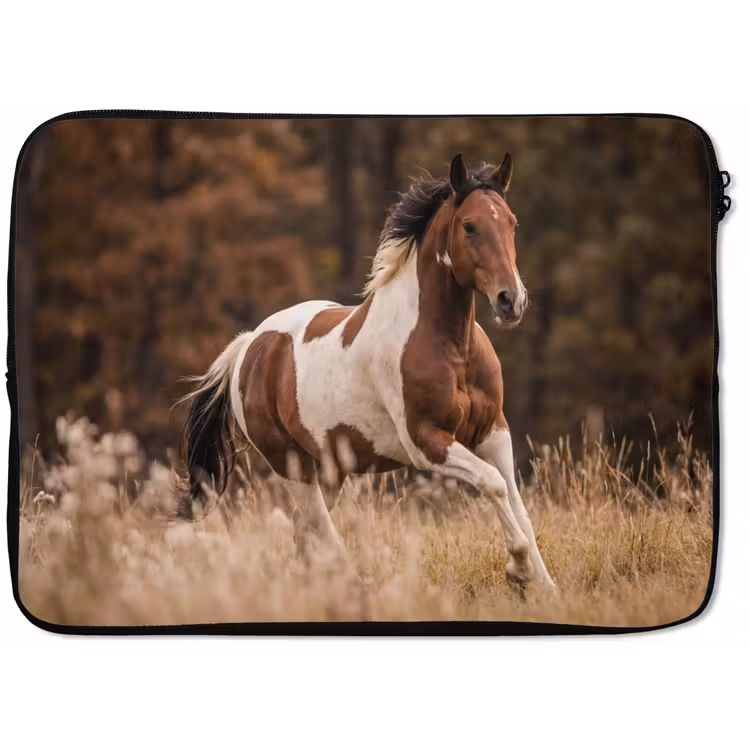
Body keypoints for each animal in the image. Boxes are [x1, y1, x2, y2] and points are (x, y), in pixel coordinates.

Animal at [175, 153, 556, 593]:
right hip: (291, 464)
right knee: (320, 534)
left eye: (511, 222)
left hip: (330, 470)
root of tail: (249, 345)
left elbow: (515, 501)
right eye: (469, 225)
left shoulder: (493, 431)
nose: (511, 300)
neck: (450, 347)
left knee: (306, 535)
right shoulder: (426, 442)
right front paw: (518, 569)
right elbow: (493, 484)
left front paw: (544, 585)